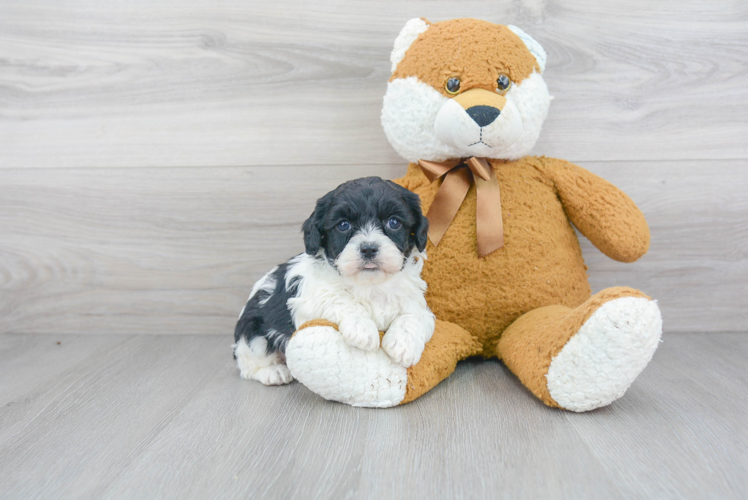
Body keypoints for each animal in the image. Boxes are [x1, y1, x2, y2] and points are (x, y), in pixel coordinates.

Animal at [232, 178, 432, 384]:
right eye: (343, 225)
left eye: (394, 222)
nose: (368, 248)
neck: (370, 284)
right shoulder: (309, 299)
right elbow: (338, 299)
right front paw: (362, 328)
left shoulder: (415, 302)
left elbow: (416, 316)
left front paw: (403, 344)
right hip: (252, 332)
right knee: (248, 364)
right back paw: (273, 371)